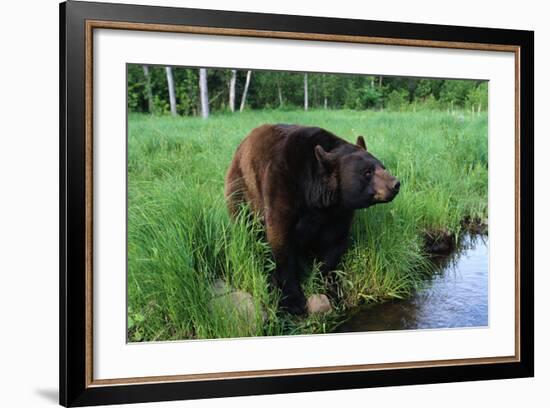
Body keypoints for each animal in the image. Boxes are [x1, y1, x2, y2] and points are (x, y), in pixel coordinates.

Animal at [224, 125, 402, 316]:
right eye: (367, 172)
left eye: (383, 166)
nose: (395, 184)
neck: (316, 195)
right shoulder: (282, 185)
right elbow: (281, 242)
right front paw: (293, 300)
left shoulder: (338, 212)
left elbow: (334, 244)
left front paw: (327, 286)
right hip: (242, 187)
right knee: (244, 221)